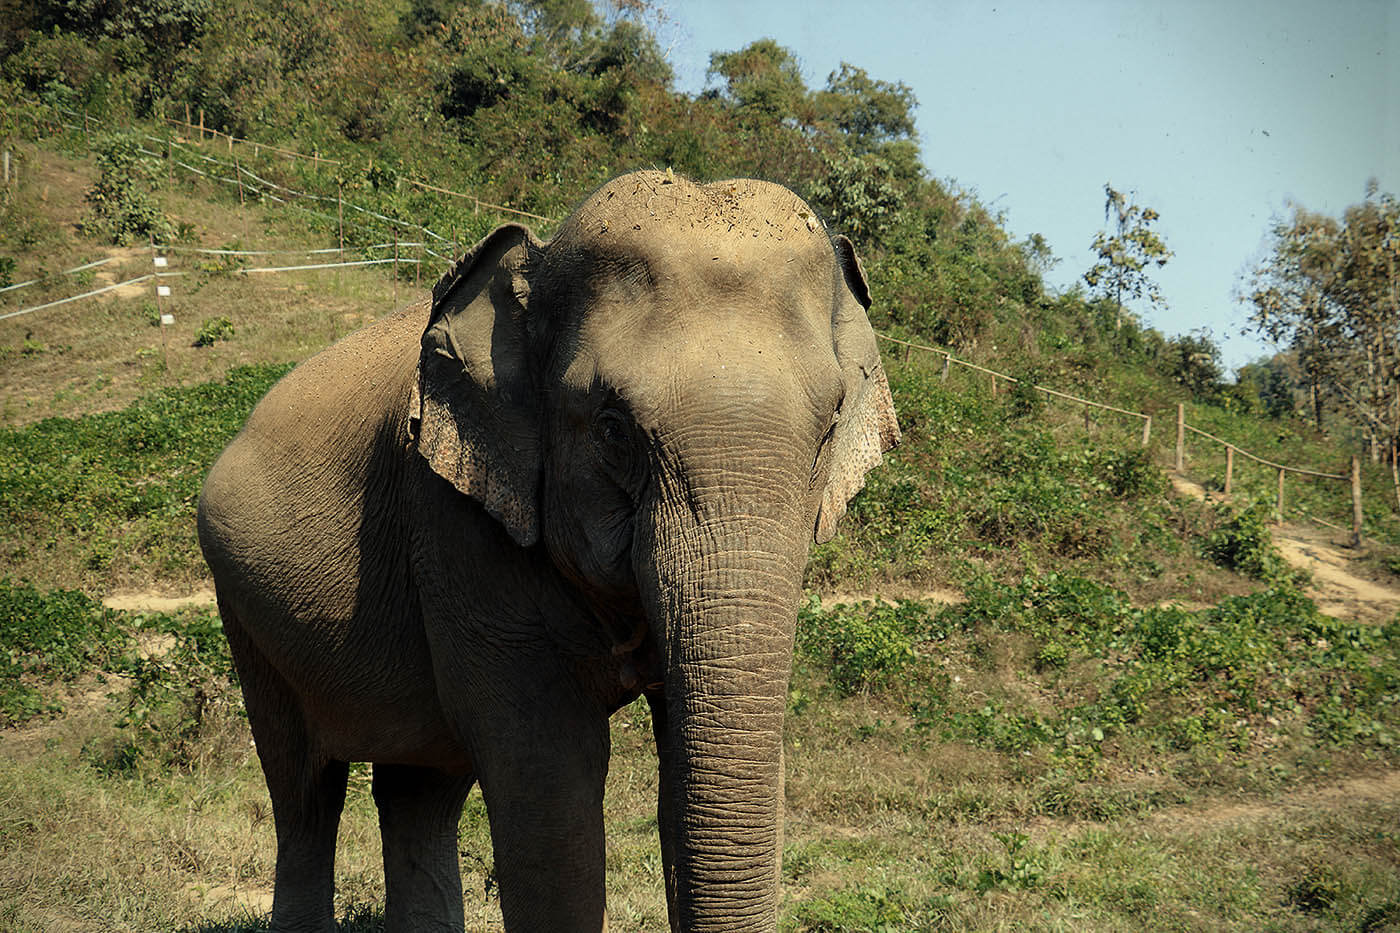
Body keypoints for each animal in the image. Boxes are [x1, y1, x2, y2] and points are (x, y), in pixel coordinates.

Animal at [196, 169, 900, 932]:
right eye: (614, 429)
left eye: (830, 426)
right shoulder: (455, 523)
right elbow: (551, 787)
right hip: (245, 613)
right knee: (305, 788)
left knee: (420, 791)